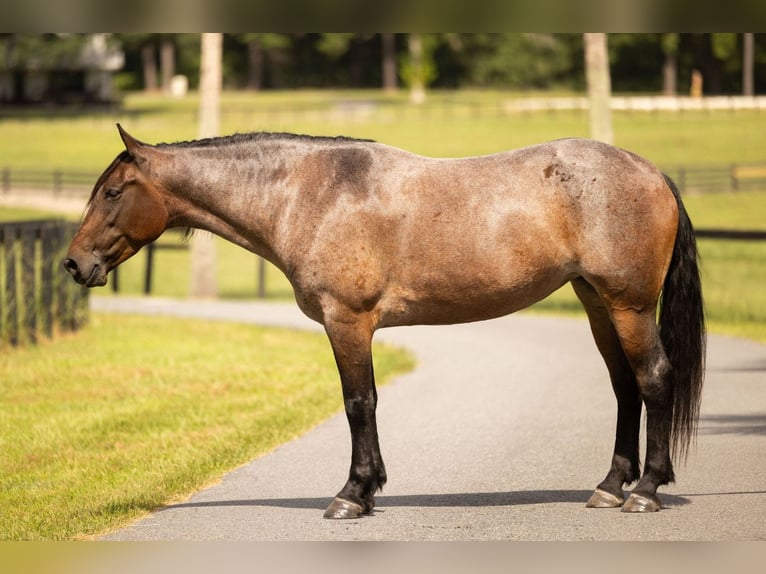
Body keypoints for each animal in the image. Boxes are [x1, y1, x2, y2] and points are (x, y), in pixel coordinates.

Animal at [64, 125, 705, 519]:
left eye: (113, 191)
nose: (75, 263)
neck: (309, 194)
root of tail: (652, 173)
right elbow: (364, 403)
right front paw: (366, 491)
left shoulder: (347, 323)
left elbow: (359, 403)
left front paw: (354, 493)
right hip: (598, 303)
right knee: (624, 387)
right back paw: (611, 487)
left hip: (627, 307)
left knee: (653, 379)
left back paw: (647, 490)